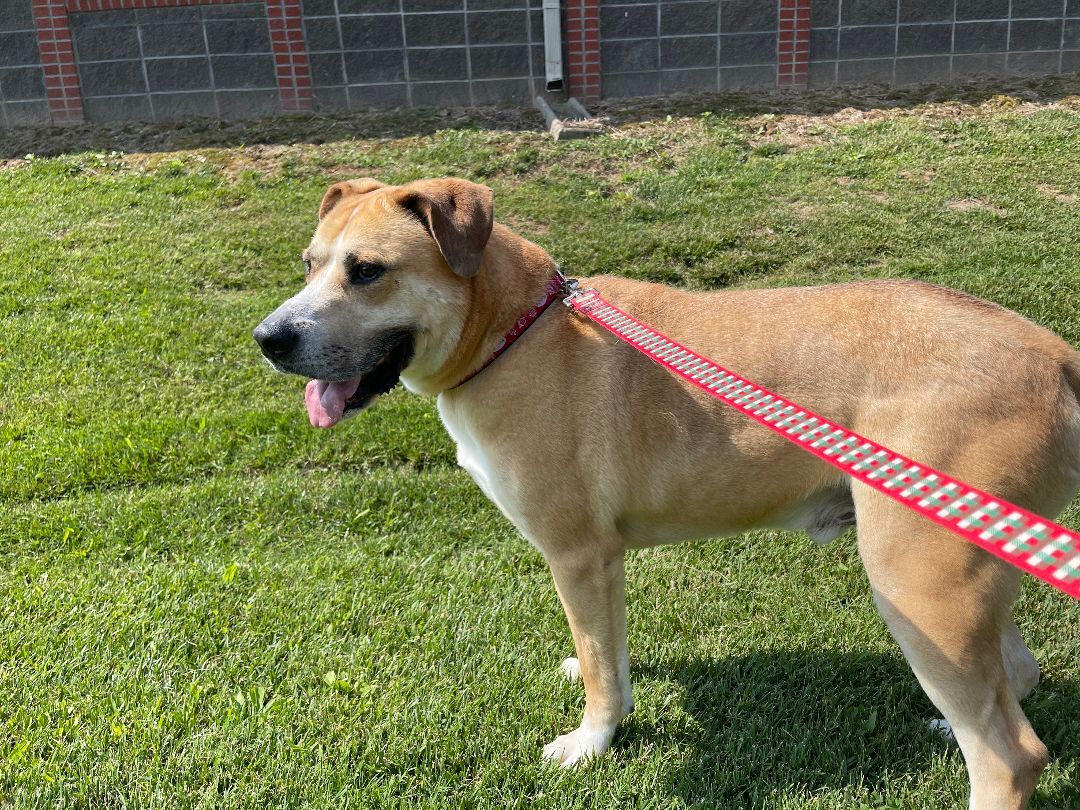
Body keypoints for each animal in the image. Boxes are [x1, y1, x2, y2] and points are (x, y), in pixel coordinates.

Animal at [254, 177, 1080, 810]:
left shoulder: (578, 552)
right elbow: (604, 654)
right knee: (1018, 677)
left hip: (919, 581)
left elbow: (599, 667)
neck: (515, 330)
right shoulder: (603, 562)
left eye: (367, 271)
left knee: (1013, 755)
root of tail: (1058, 356)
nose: (269, 339)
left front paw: (591, 741)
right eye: (308, 263)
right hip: (965, 564)